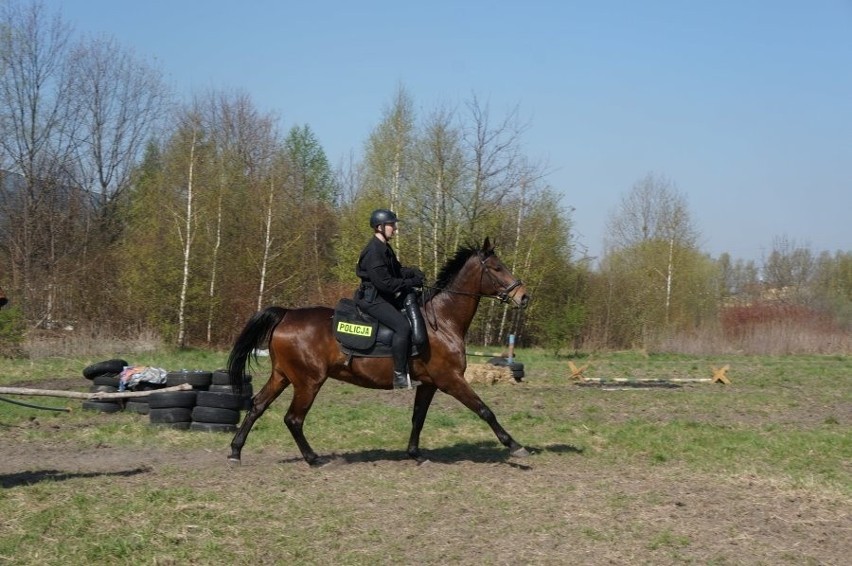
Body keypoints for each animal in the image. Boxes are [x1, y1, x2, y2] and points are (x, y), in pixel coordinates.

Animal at [226, 237, 532, 468]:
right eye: (497, 267)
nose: (524, 296)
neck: (443, 321)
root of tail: (286, 314)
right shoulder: (450, 380)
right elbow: (485, 410)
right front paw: (515, 446)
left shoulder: (429, 384)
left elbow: (418, 418)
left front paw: (415, 454)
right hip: (308, 382)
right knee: (293, 419)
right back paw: (313, 459)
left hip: (282, 376)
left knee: (257, 406)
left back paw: (235, 452)